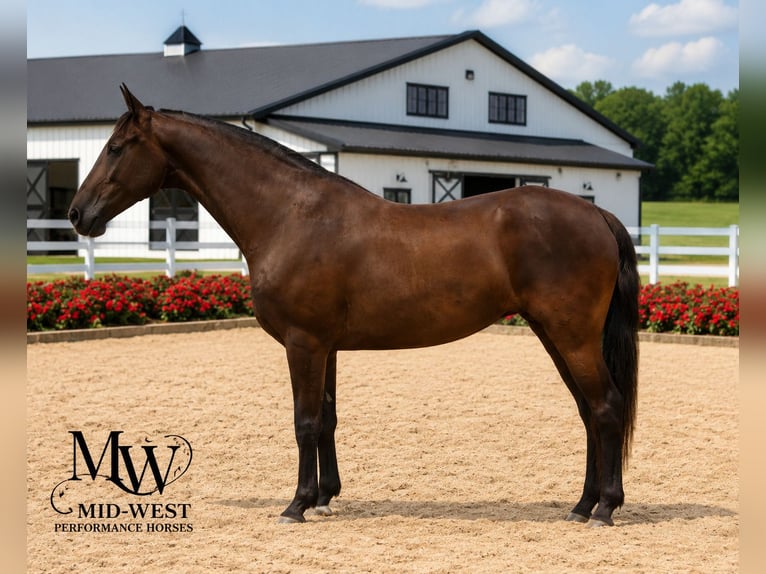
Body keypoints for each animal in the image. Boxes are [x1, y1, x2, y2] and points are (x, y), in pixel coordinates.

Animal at [69, 85, 639, 527]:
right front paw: (325, 497)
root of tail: (598, 214)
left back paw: (605, 508)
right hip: (554, 334)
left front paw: (297, 505)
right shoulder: (327, 348)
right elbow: (327, 418)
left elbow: (303, 421)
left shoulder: (303, 344)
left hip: (571, 336)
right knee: (589, 412)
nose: (77, 215)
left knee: (606, 407)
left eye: (116, 147)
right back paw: (581, 505)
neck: (290, 215)